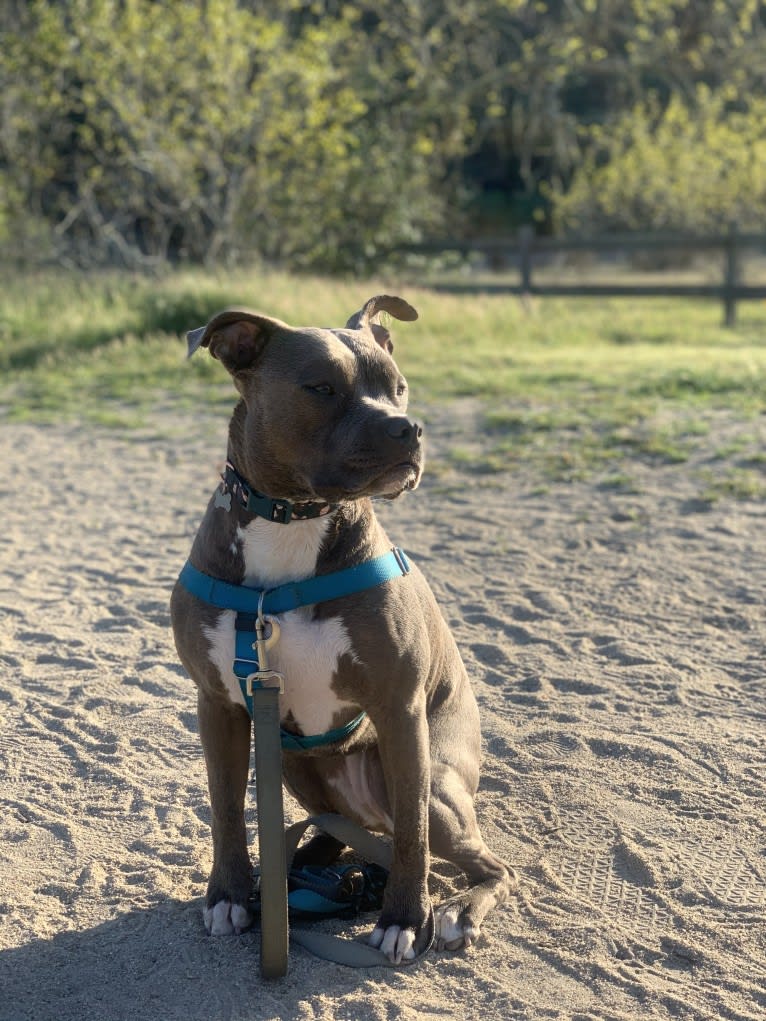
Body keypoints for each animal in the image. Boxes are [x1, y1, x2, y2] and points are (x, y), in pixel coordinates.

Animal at [170, 296, 512, 963]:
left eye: (398, 388)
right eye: (321, 388)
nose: (408, 429)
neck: (292, 519)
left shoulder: (401, 709)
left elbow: (410, 838)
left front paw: (404, 917)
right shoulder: (218, 705)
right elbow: (226, 810)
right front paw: (228, 894)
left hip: (435, 779)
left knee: (483, 862)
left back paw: (457, 909)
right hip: (296, 765)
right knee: (333, 832)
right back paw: (295, 871)